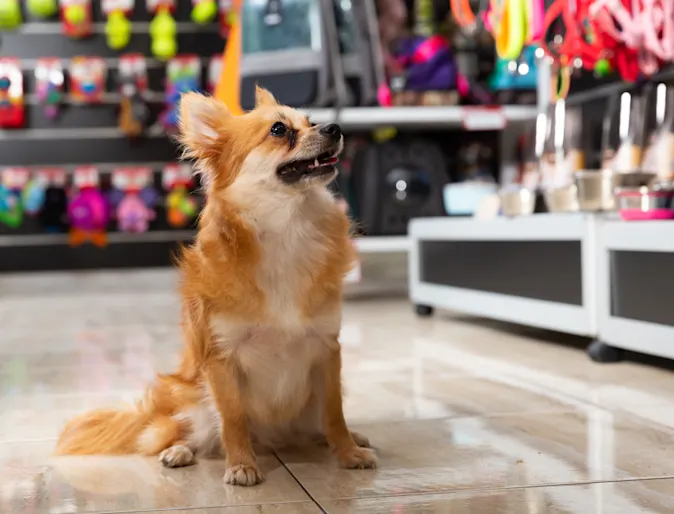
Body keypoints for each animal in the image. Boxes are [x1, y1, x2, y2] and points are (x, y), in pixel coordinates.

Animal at [54, 87, 376, 484]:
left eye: (311, 121)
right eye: (279, 130)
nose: (334, 127)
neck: (287, 228)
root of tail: (273, 439)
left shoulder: (326, 349)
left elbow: (335, 412)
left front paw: (348, 452)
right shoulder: (222, 359)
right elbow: (233, 419)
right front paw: (241, 465)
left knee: (318, 426)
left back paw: (350, 438)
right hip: (194, 400)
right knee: (181, 433)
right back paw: (179, 450)